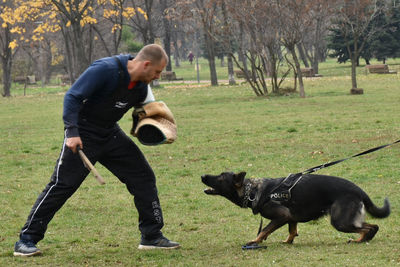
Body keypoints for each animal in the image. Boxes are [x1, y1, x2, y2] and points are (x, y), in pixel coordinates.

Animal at [202, 173, 390, 246]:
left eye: (220, 177)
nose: (203, 176)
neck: (253, 191)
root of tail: (358, 190)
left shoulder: (281, 217)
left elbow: (264, 230)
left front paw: (255, 241)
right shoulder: (290, 218)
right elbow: (292, 231)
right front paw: (288, 241)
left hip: (340, 222)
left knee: (370, 227)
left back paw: (360, 240)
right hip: (346, 220)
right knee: (370, 226)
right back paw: (363, 239)